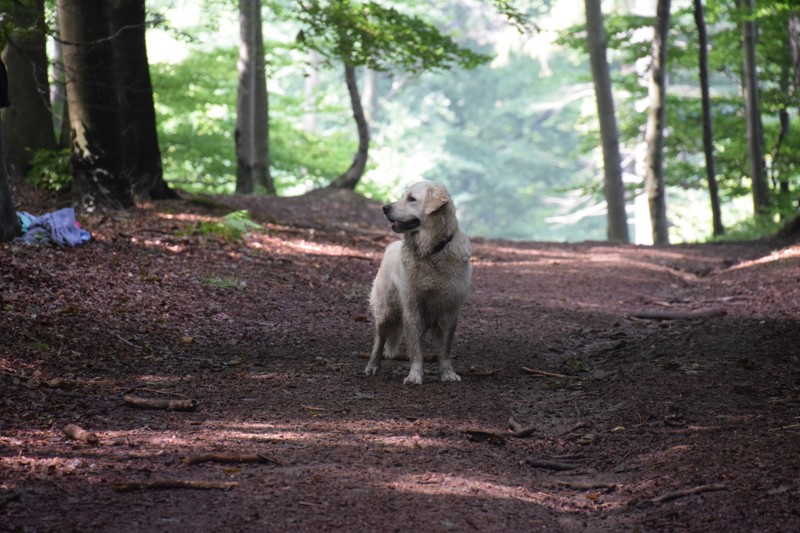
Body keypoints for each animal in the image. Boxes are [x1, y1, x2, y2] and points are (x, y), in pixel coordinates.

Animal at [366, 181, 472, 384]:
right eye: (403, 196)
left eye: (411, 199)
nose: (385, 207)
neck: (431, 251)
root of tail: (390, 246)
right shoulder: (412, 307)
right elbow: (415, 348)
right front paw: (414, 375)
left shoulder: (450, 309)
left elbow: (445, 349)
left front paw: (447, 372)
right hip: (385, 309)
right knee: (379, 338)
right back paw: (373, 365)